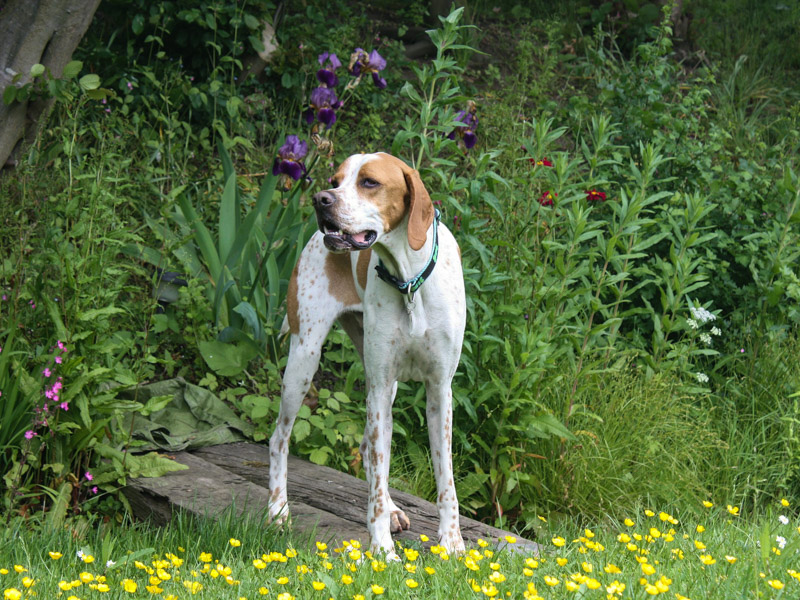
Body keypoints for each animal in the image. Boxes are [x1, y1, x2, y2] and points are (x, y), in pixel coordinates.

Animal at [270, 152, 468, 556]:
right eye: (336, 180)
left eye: (370, 182)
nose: (321, 199)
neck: (409, 282)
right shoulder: (377, 387)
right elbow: (377, 477)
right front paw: (381, 550)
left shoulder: (440, 390)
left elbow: (446, 481)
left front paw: (453, 542)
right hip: (303, 362)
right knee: (279, 439)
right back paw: (278, 509)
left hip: (383, 388)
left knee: (368, 448)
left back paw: (392, 509)